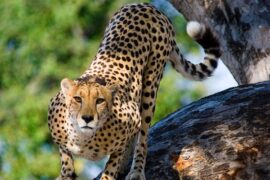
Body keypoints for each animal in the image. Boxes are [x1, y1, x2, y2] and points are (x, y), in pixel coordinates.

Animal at [48, 2, 221, 180]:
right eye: (78, 99)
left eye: (100, 101)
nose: (87, 118)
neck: (82, 136)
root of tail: (145, 5)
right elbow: (66, 161)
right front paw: (65, 173)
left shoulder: (132, 120)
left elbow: (114, 162)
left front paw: (115, 169)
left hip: (151, 83)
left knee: (143, 137)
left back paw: (136, 170)